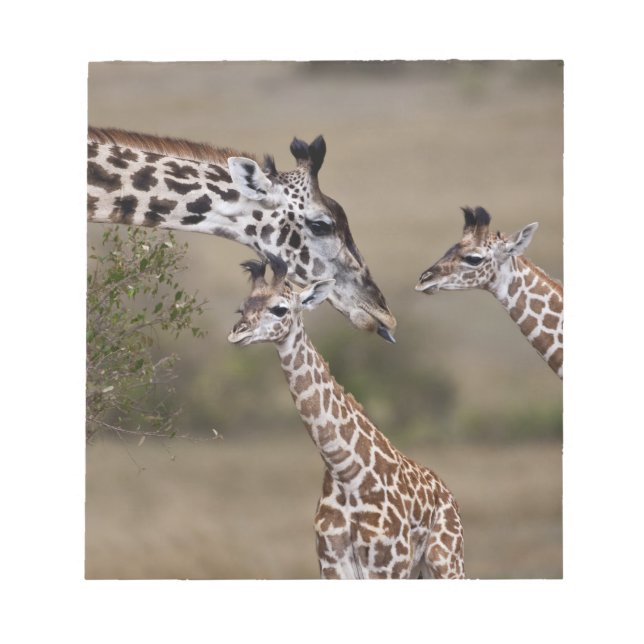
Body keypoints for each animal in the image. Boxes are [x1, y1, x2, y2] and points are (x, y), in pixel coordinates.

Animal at [228, 255, 465, 579]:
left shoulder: (388, 565)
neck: (346, 470)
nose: (236, 333)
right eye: (243, 307)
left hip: (447, 560)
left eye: (280, 309)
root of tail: (448, 494)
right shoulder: (332, 564)